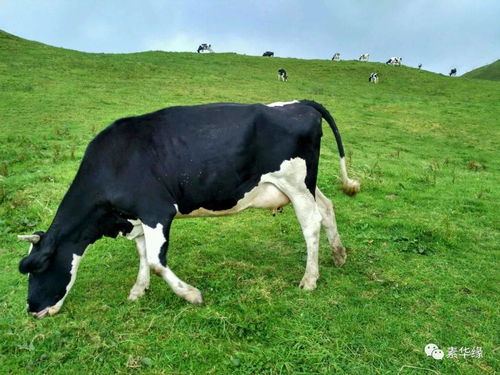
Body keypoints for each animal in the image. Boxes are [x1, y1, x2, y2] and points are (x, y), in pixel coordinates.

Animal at [16, 100, 360, 320]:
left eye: (36, 267)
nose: (32, 310)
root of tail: (299, 103)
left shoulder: (156, 210)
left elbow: (156, 261)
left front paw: (192, 295)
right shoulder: (136, 218)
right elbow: (143, 254)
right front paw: (138, 290)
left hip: (295, 182)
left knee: (311, 222)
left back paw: (309, 279)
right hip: (304, 184)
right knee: (327, 207)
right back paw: (339, 255)